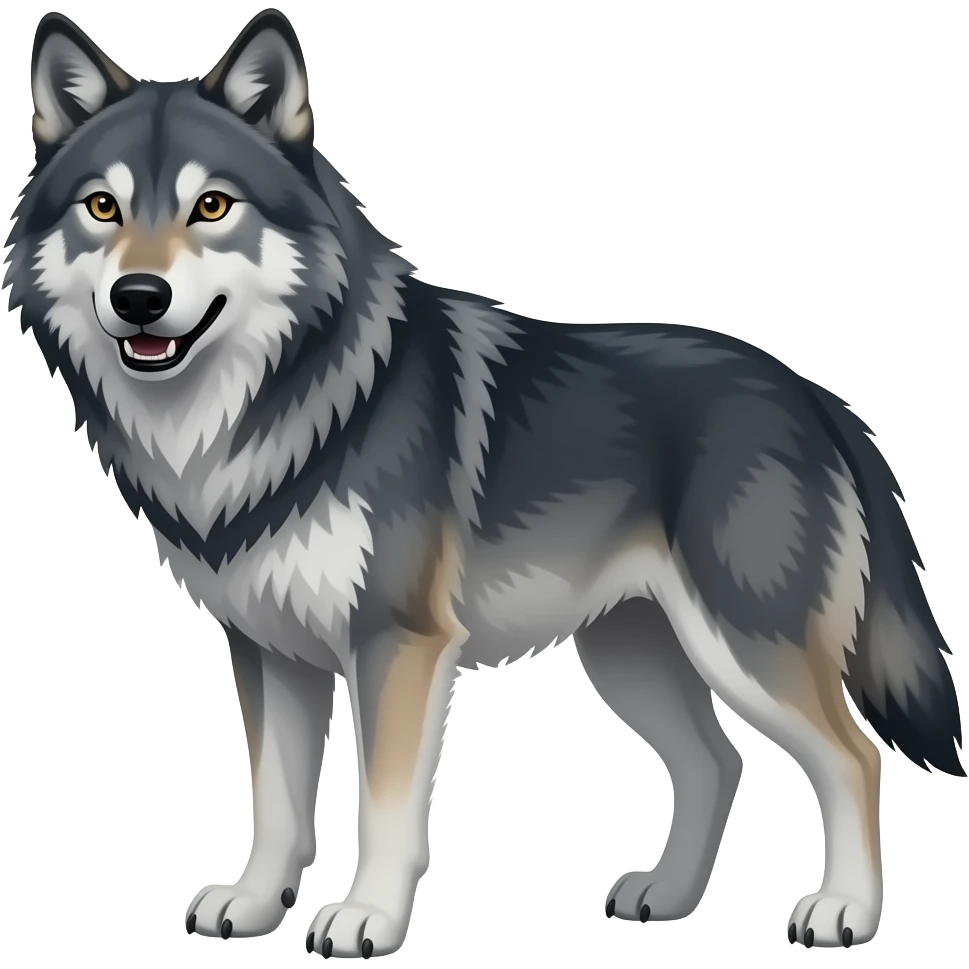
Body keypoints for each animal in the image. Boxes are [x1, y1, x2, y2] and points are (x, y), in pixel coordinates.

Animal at [4, 7, 964, 957]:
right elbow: (274, 799)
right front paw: (250, 903)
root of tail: (814, 395)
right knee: (716, 761)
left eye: (210, 206)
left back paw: (842, 911)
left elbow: (385, 804)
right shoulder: (269, 648)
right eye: (102, 206)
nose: (138, 295)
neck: (265, 409)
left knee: (852, 757)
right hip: (632, 654)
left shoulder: (398, 642)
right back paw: (666, 896)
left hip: (743, 645)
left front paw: (366, 917)